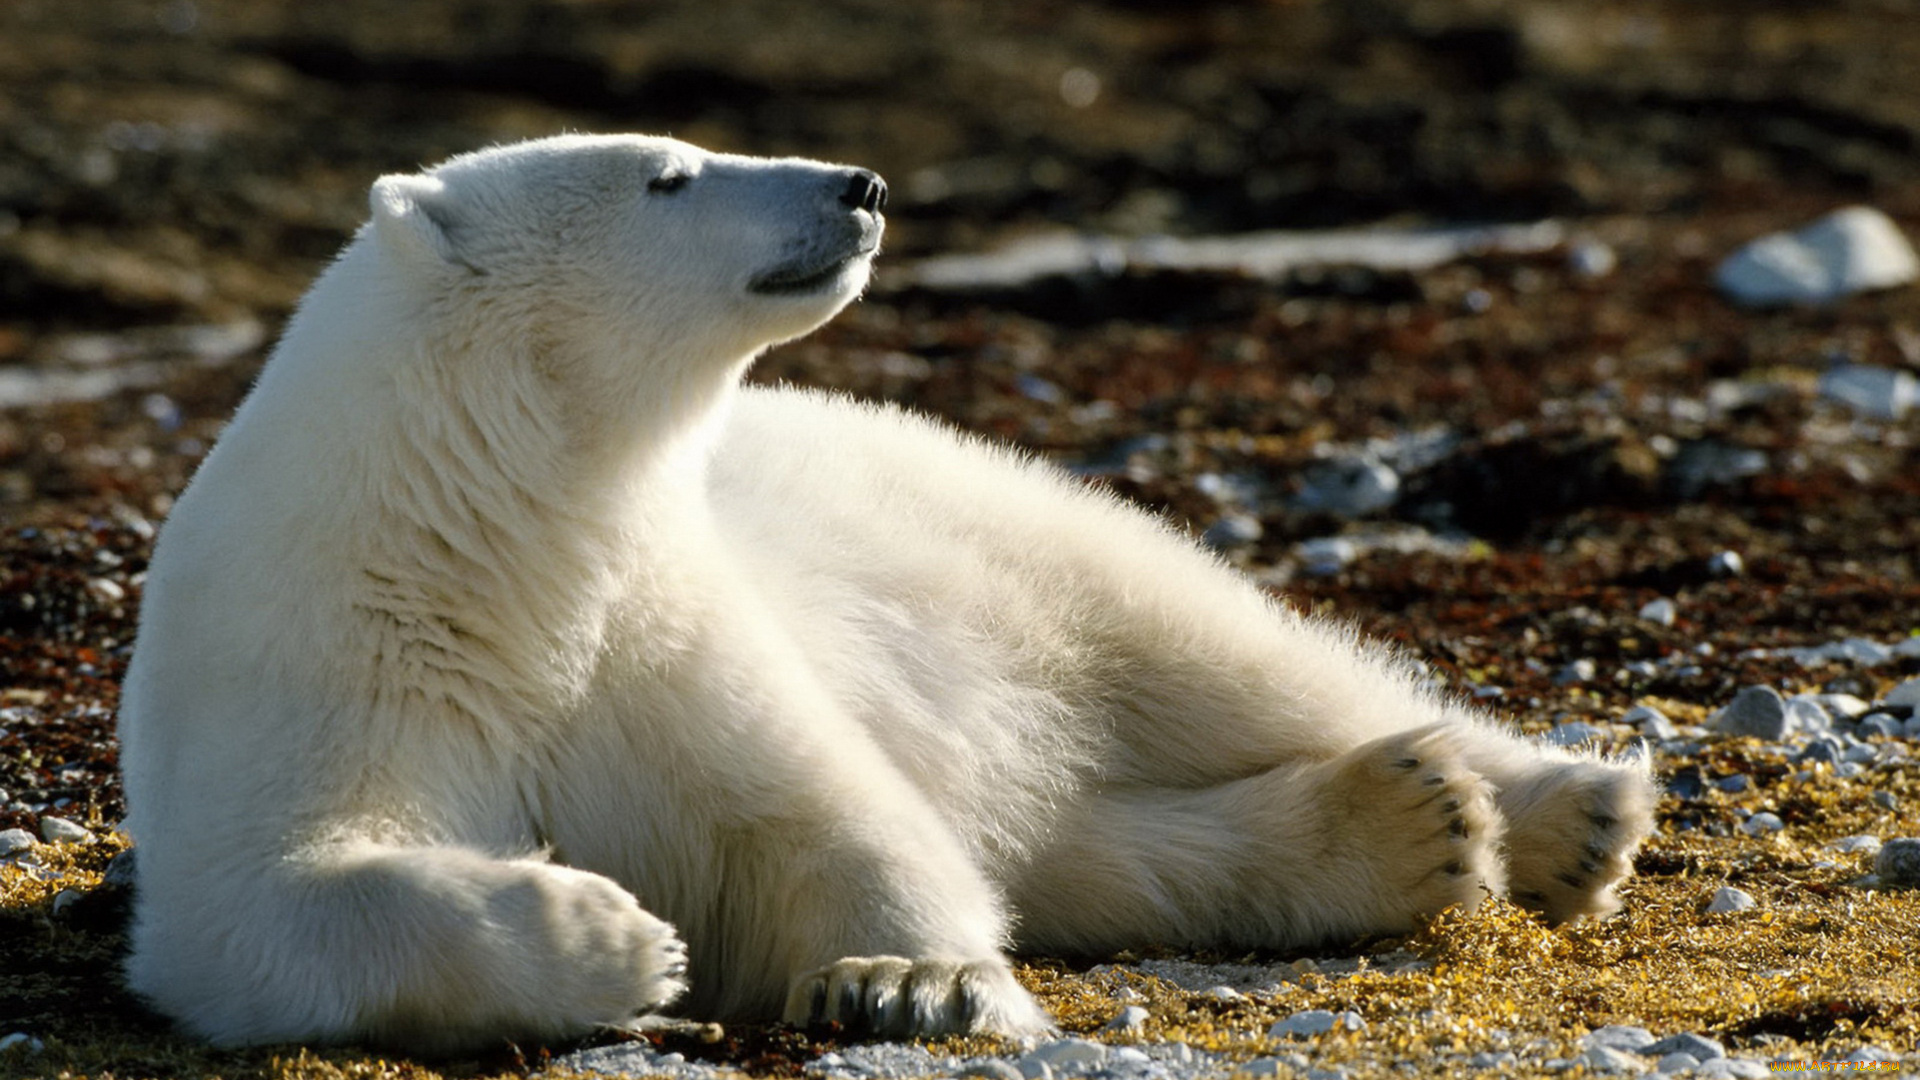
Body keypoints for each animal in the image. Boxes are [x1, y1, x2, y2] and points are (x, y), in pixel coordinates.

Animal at [116, 134, 1651, 1053]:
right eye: (667, 174)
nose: (858, 184)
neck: (494, 543)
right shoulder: (327, 660)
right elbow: (265, 902)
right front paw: (617, 935)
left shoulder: (660, 633)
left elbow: (836, 815)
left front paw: (903, 981)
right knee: (1098, 844)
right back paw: (1408, 822)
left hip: (995, 528)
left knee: (1215, 657)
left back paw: (1563, 808)